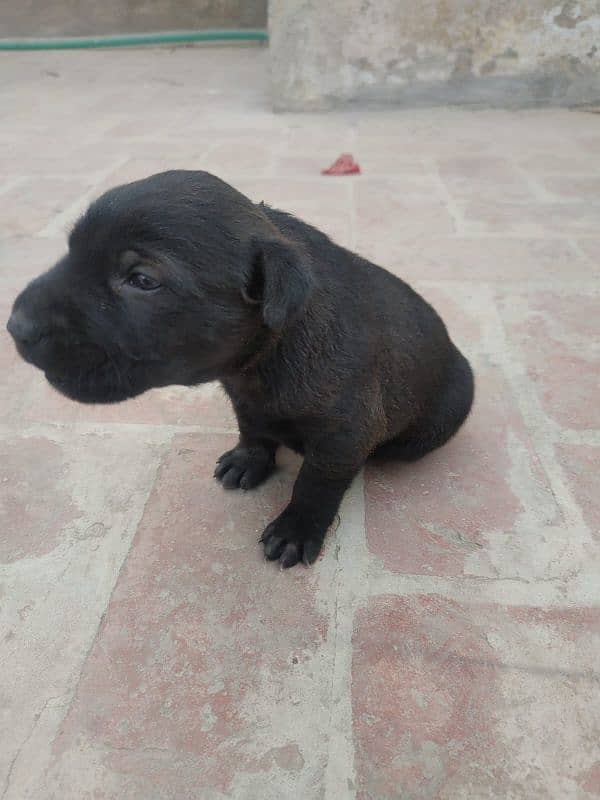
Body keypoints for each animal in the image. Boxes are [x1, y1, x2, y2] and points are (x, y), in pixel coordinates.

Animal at [5, 170, 474, 568]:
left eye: (142, 280)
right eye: (70, 250)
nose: (15, 326)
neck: (264, 357)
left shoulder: (344, 432)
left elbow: (315, 484)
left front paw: (295, 529)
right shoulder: (244, 397)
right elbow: (253, 430)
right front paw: (248, 461)